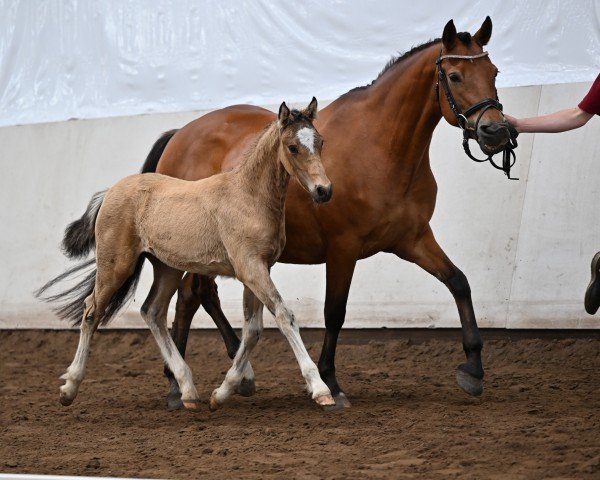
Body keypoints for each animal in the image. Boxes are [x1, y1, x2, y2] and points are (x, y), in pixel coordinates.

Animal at [36, 99, 338, 410]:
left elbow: (253, 330)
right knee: (91, 311)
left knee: (152, 311)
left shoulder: (259, 268)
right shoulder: (250, 268)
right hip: (116, 265)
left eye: (320, 142)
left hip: (167, 268)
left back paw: (188, 390)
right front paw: (320, 389)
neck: (249, 197)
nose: (323, 190)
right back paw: (69, 388)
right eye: (292, 147)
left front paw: (222, 393)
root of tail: (110, 192)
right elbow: (283, 315)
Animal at [148, 17, 508, 408]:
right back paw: (178, 385)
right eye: (455, 76)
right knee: (188, 297)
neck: (380, 148)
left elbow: (458, 282)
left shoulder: (413, 239)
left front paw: (473, 368)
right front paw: (330, 382)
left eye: (493, 72)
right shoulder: (342, 249)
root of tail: (180, 135)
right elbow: (334, 312)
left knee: (194, 295)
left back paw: (215, 378)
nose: (496, 131)